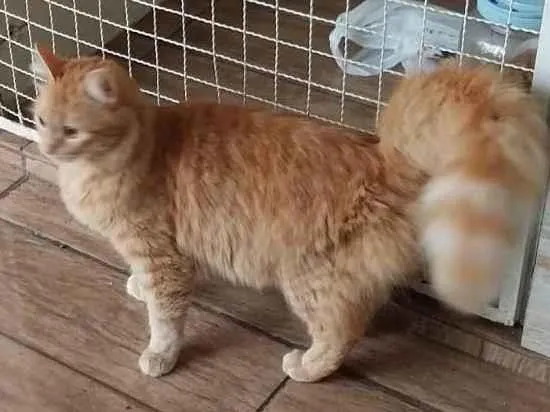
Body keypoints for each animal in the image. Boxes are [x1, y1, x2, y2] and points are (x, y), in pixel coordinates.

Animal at [32, 46, 548, 383]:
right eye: (39, 121)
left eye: (72, 131)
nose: (47, 147)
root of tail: (384, 157)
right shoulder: (158, 256)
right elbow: (151, 291)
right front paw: (137, 289)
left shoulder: (162, 257)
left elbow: (166, 320)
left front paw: (160, 356)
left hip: (307, 281)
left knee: (341, 332)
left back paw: (305, 368)